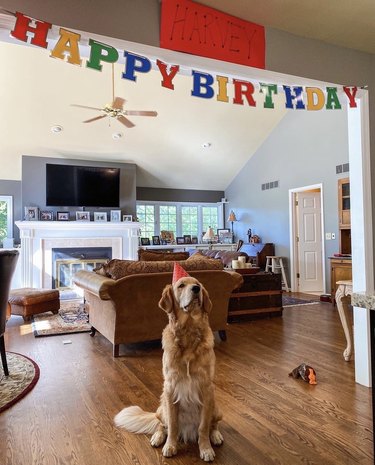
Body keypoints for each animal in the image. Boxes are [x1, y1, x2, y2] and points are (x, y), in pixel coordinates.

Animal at [115, 268, 223, 460]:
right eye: (181, 285)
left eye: (198, 284)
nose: (196, 289)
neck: (188, 333)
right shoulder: (171, 388)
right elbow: (172, 426)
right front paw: (170, 446)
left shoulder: (207, 388)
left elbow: (203, 427)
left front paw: (205, 449)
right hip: (162, 407)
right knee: (161, 425)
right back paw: (158, 437)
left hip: (216, 406)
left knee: (213, 424)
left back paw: (216, 435)